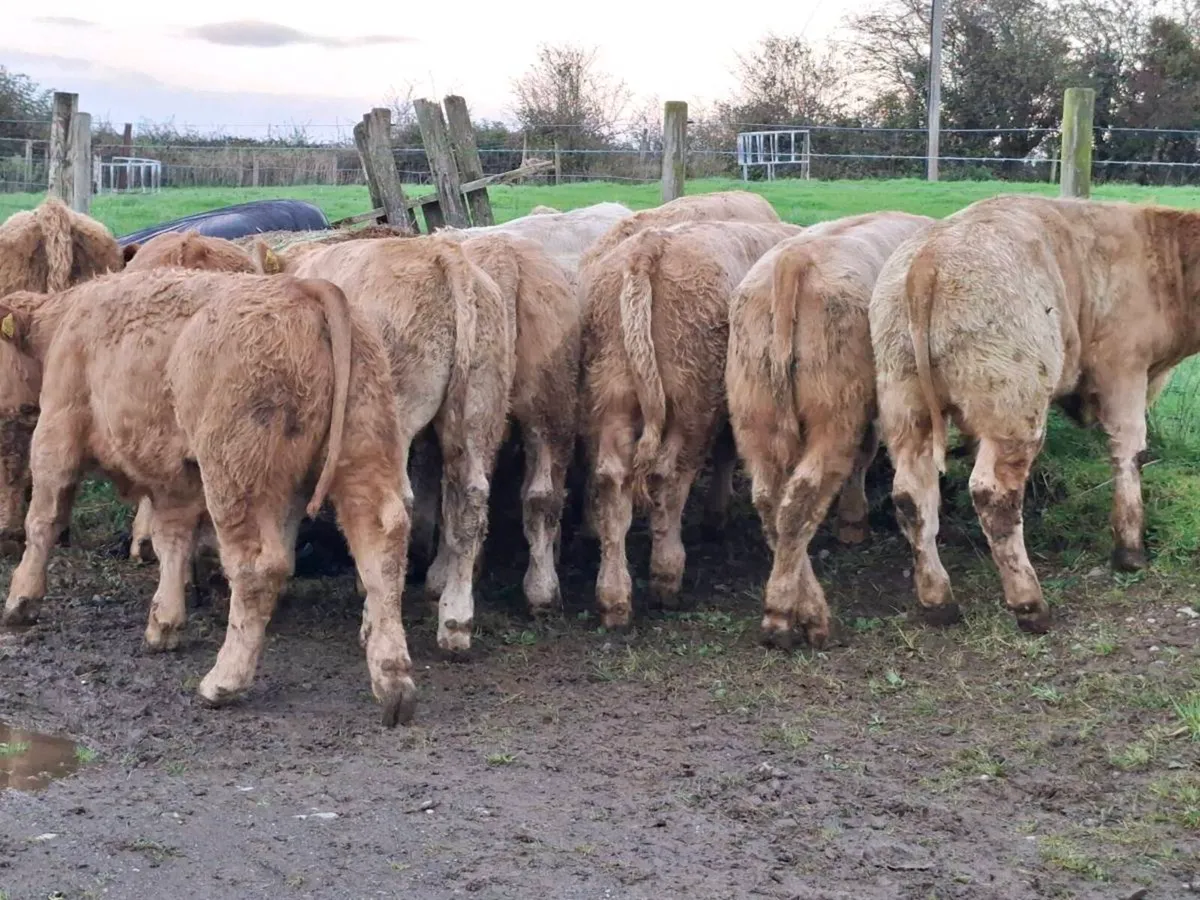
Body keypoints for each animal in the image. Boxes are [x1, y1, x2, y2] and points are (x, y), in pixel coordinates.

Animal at [0, 269, 418, 725]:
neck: (63, 323)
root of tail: (302, 288)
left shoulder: (56, 435)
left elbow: (43, 521)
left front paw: (21, 600)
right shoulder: (175, 480)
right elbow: (171, 542)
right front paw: (164, 622)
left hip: (234, 477)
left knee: (257, 567)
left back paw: (224, 680)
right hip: (363, 451)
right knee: (382, 551)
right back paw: (393, 682)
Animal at [253, 235, 514, 653]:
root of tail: (443, 254)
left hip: (394, 413)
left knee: (395, 505)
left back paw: (375, 620)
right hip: (480, 404)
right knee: (470, 500)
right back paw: (455, 621)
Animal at [581, 220, 804, 628]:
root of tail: (649, 248)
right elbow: (727, 454)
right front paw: (716, 515)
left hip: (611, 396)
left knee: (612, 483)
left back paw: (613, 598)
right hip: (691, 405)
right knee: (668, 481)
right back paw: (666, 576)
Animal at [726, 212, 936, 649]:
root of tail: (793, 261)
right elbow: (866, 453)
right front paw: (854, 522)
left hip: (754, 416)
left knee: (772, 504)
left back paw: (791, 607)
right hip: (835, 415)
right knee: (801, 498)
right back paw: (798, 618)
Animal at [869, 194, 1194, 635]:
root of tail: (928, 257)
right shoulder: (1124, 369)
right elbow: (1130, 452)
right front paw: (1129, 551)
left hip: (905, 402)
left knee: (910, 495)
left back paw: (939, 601)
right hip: (1015, 406)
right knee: (993, 494)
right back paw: (1029, 604)